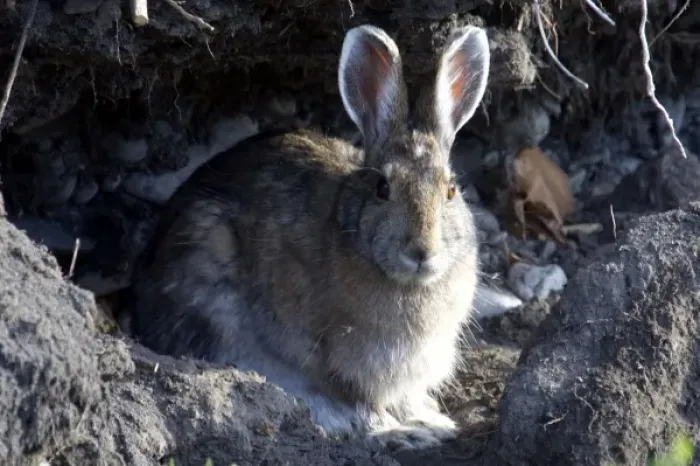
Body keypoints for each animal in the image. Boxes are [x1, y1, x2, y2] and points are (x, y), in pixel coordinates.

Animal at [127, 23, 490, 450]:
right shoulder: (337, 360)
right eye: (382, 188)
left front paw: (431, 420)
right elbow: (359, 402)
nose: (422, 251)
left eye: (450, 190)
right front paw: (403, 430)